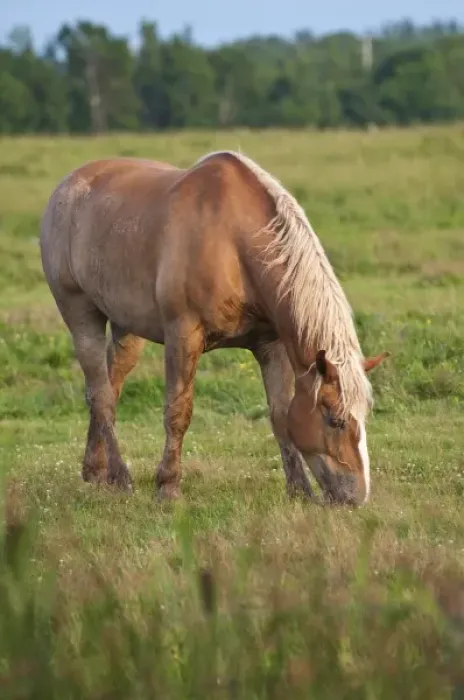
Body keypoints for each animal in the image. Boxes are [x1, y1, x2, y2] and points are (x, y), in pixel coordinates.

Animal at [39, 150, 389, 506]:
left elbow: (280, 415)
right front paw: (168, 487)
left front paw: (299, 489)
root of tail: (68, 185)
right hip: (82, 316)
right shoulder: (183, 336)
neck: (234, 244)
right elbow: (178, 412)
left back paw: (96, 471)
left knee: (110, 385)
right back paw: (121, 477)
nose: (357, 497)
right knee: (101, 395)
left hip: (127, 329)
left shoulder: (271, 345)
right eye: (335, 419)